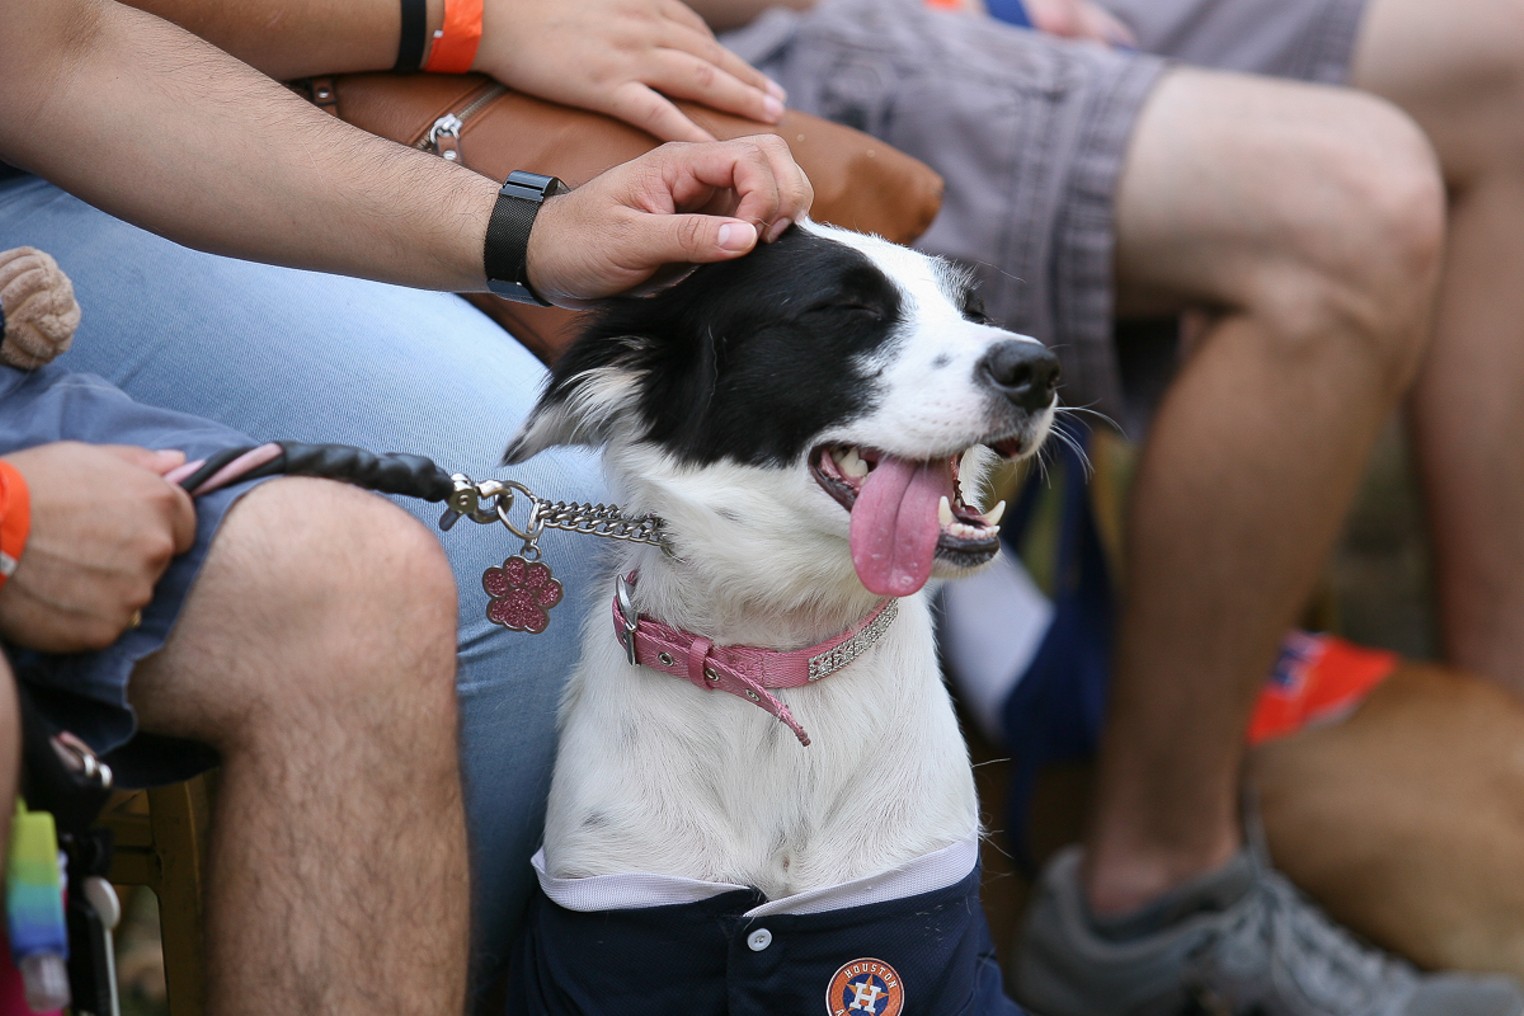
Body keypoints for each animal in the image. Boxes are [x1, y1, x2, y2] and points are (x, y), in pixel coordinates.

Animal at [505, 222, 1054, 1016]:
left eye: (974, 311)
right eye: (843, 308)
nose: (1036, 366)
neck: (777, 668)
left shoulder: (915, 927)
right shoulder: (611, 934)